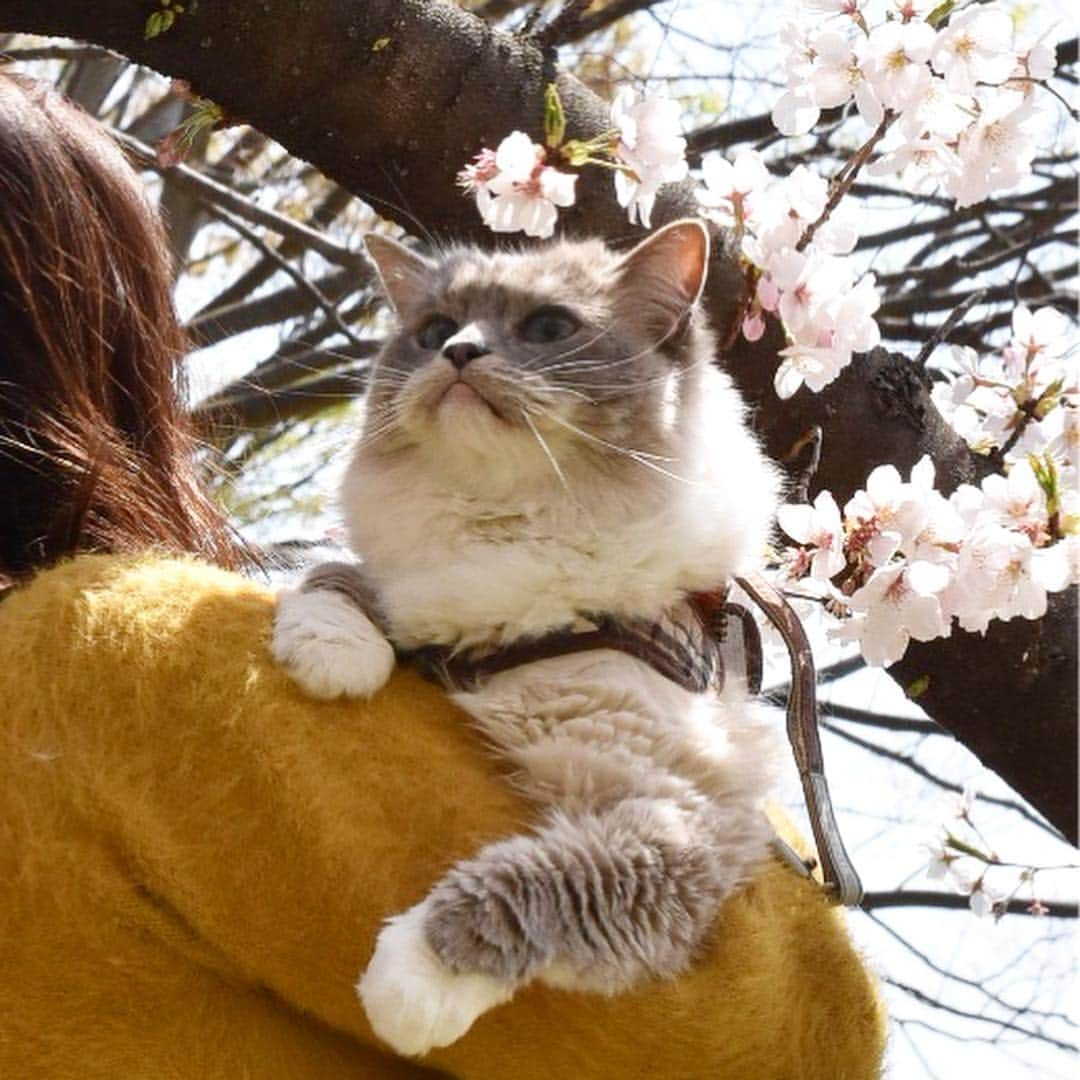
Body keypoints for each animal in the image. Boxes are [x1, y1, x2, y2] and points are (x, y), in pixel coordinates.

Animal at [268, 219, 777, 1054]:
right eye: (435, 330)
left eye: (547, 329)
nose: (458, 353)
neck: (508, 535)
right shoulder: (418, 601)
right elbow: (334, 576)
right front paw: (337, 658)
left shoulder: (678, 816)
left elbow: (538, 884)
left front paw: (407, 989)